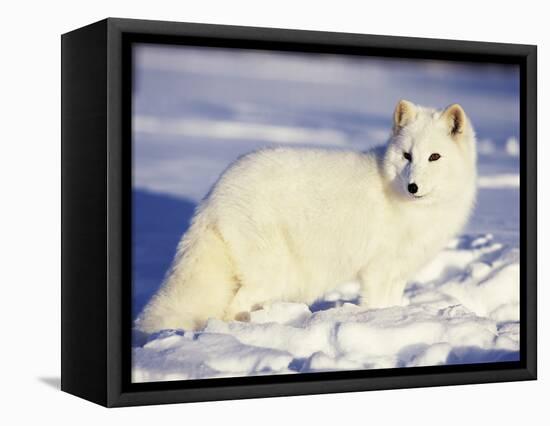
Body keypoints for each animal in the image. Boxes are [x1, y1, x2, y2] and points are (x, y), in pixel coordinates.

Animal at [137, 100, 478, 332]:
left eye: (434, 157)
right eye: (407, 156)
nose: (412, 186)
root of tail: (214, 194)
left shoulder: (398, 271)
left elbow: (393, 302)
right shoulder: (377, 271)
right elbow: (377, 305)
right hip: (272, 270)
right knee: (231, 308)